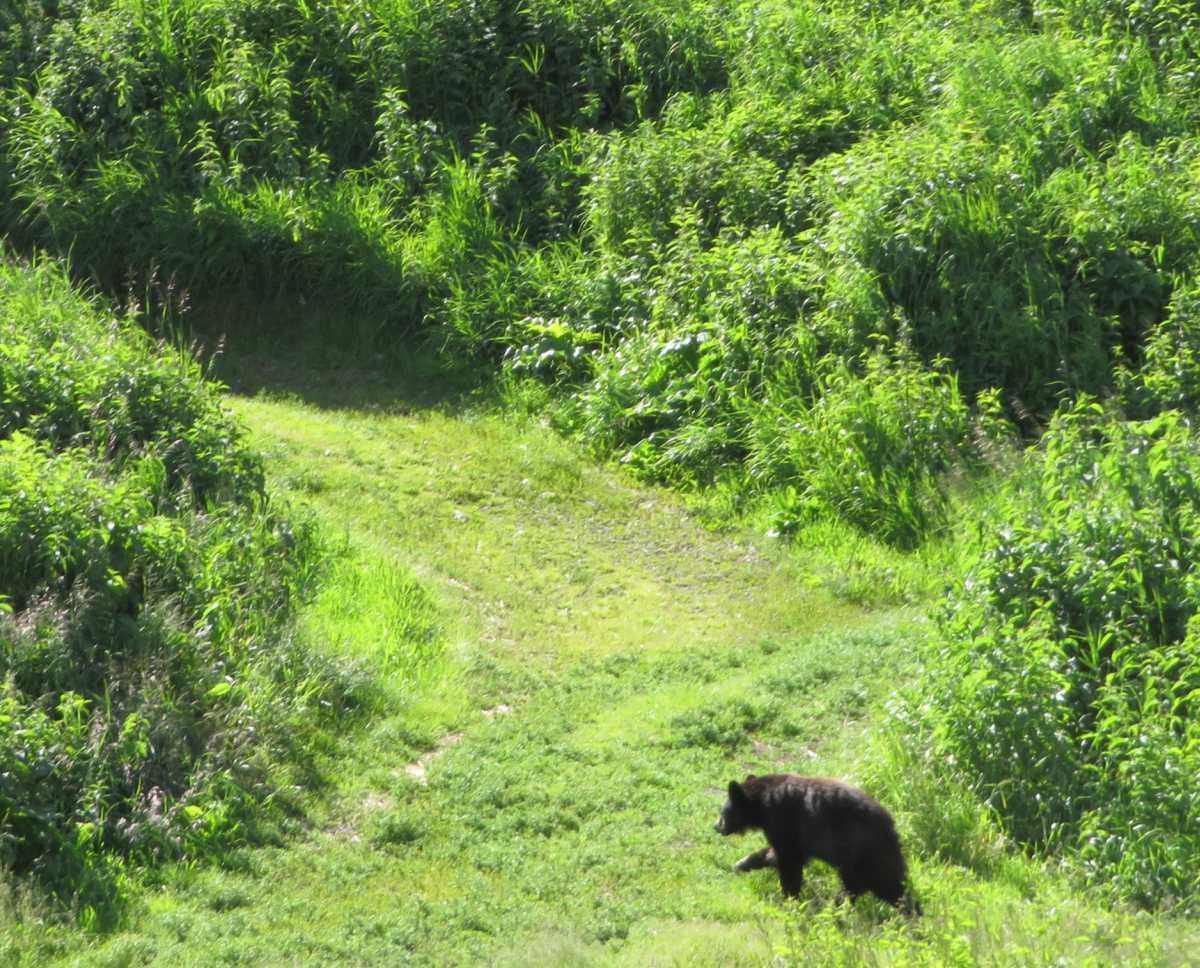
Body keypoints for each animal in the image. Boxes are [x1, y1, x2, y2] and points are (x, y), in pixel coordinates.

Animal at [714, 774, 918, 914]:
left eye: (723, 812)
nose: (716, 826)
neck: (763, 802)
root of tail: (889, 824)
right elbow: (778, 854)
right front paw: (742, 863)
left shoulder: (782, 820)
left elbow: (789, 861)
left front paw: (790, 899)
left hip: (862, 852)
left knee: (882, 883)